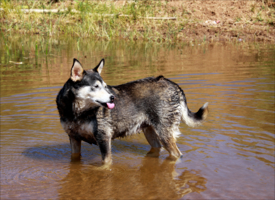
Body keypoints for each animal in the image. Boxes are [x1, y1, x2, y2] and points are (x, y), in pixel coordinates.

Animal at [56, 58, 209, 164]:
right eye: (96, 86)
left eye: (105, 86)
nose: (113, 97)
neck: (77, 112)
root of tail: (173, 84)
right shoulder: (73, 138)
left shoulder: (104, 138)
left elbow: (105, 164)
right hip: (150, 132)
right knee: (157, 148)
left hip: (165, 134)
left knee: (177, 154)